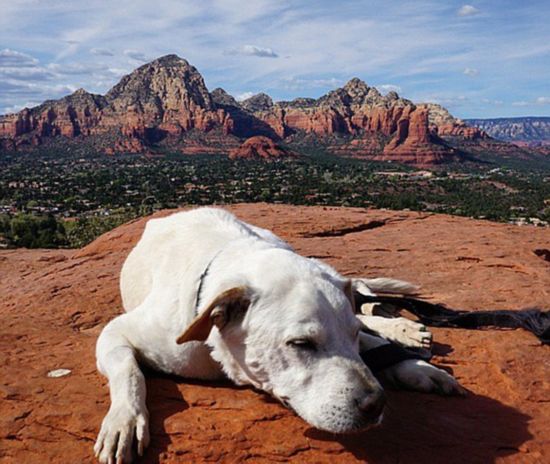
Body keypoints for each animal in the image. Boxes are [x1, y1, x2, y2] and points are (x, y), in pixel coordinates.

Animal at [92, 208, 464, 462]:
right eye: (301, 344)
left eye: (352, 337)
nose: (376, 405)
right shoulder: (116, 333)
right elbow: (129, 372)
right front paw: (125, 420)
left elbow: (373, 343)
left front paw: (414, 365)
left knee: (365, 308)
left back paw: (404, 333)